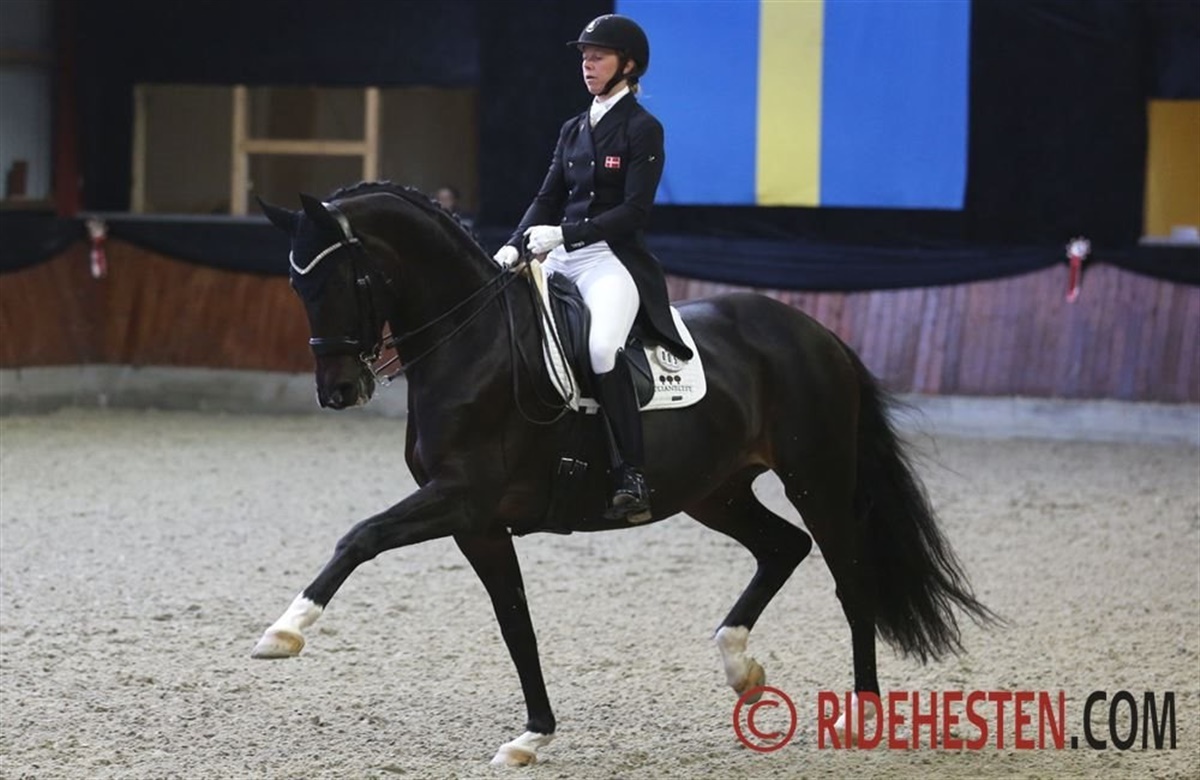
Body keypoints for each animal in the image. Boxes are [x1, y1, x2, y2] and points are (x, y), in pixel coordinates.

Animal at [253, 182, 994, 766]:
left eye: (339, 281)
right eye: (295, 285)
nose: (338, 391)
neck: (476, 344)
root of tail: (814, 332)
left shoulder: (461, 500)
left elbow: (361, 536)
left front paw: (284, 633)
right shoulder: (479, 525)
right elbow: (516, 623)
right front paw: (533, 736)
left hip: (817, 477)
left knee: (850, 578)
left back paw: (864, 713)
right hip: (715, 491)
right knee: (784, 546)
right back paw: (740, 665)